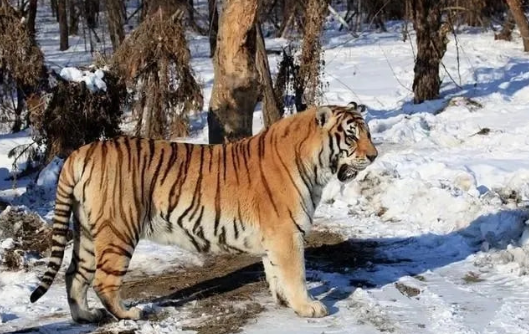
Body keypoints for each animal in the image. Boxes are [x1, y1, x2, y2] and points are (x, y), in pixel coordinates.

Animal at [29, 102, 376, 324]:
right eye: (351, 135)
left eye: (368, 133)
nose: (374, 156)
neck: (316, 166)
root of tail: (81, 151)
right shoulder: (286, 234)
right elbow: (296, 274)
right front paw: (308, 307)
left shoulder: (275, 237)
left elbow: (275, 272)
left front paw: (284, 302)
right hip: (118, 230)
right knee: (103, 281)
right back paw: (130, 314)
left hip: (88, 231)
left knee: (74, 275)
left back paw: (85, 316)